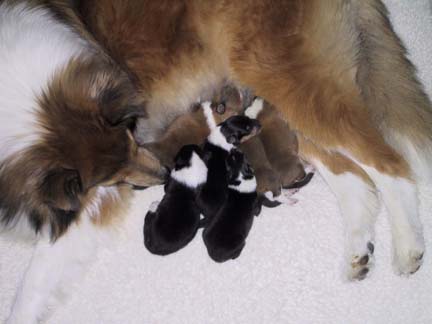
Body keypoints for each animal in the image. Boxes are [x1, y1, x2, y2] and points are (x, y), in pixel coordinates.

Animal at [1, 0, 430, 322]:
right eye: (120, 162)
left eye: (129, 141)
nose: (163, 175)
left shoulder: (95, 196)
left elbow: (33, 283)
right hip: (284, 95)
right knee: (355, 179)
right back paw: (359, 249)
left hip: (287, 75)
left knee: (390, 164)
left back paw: (407, 246)